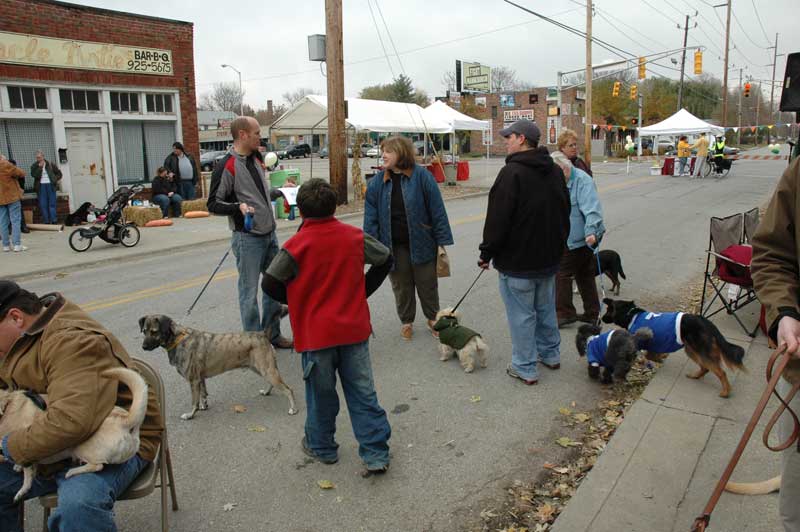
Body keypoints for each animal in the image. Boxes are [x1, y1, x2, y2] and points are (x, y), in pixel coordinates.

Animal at [139, 316, 298, 420]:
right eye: (144, 331)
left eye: (154, 331)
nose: (143, 347)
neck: (178, 338)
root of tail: (262, 334)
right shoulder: (200, 378)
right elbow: (203, 394)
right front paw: (204, 406)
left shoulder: (193, 380)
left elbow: (194, 401)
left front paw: (191, 414)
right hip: (261, 368)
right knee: (273, 384)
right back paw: (266, 392)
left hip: (267, 370)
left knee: (288, 389)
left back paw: (293, 409)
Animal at [604, 298, 748, 396]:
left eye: (608, 310)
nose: (602, 318)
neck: (631, 315)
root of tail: (706, 322)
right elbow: (653, 354)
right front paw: (660, 358)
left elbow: (649, 355)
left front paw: (657, 360)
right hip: (691, 349)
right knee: (705, 367)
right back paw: (695, 376)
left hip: (699, 349)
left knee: (720, 372)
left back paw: (725, 391)